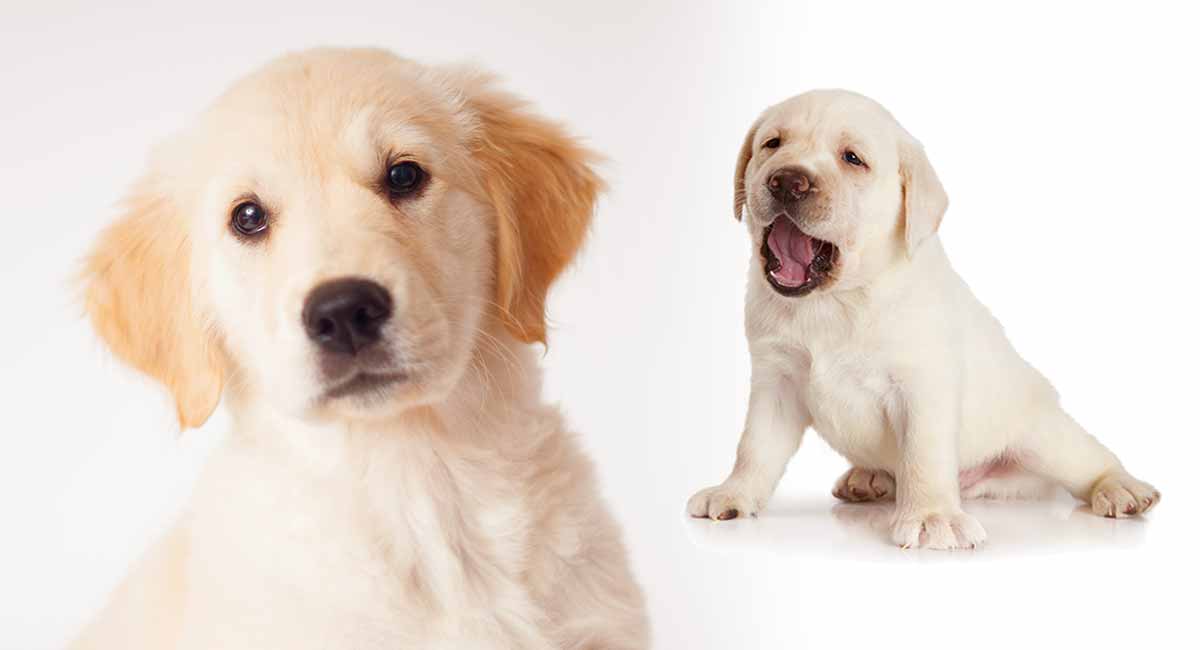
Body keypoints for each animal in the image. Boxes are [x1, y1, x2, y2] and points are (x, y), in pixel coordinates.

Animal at [691, 90, 1156, 551]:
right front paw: (734, 493)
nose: (787, 181)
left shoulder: (921, 385)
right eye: (772, 144)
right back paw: (869, 478)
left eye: (852, 158)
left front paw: (933, 516)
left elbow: (922, 454)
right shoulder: (776, 381)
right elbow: (754, 446)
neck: (836, 300)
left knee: (1089, 460)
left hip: (1043, 436)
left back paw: (1122, 488)